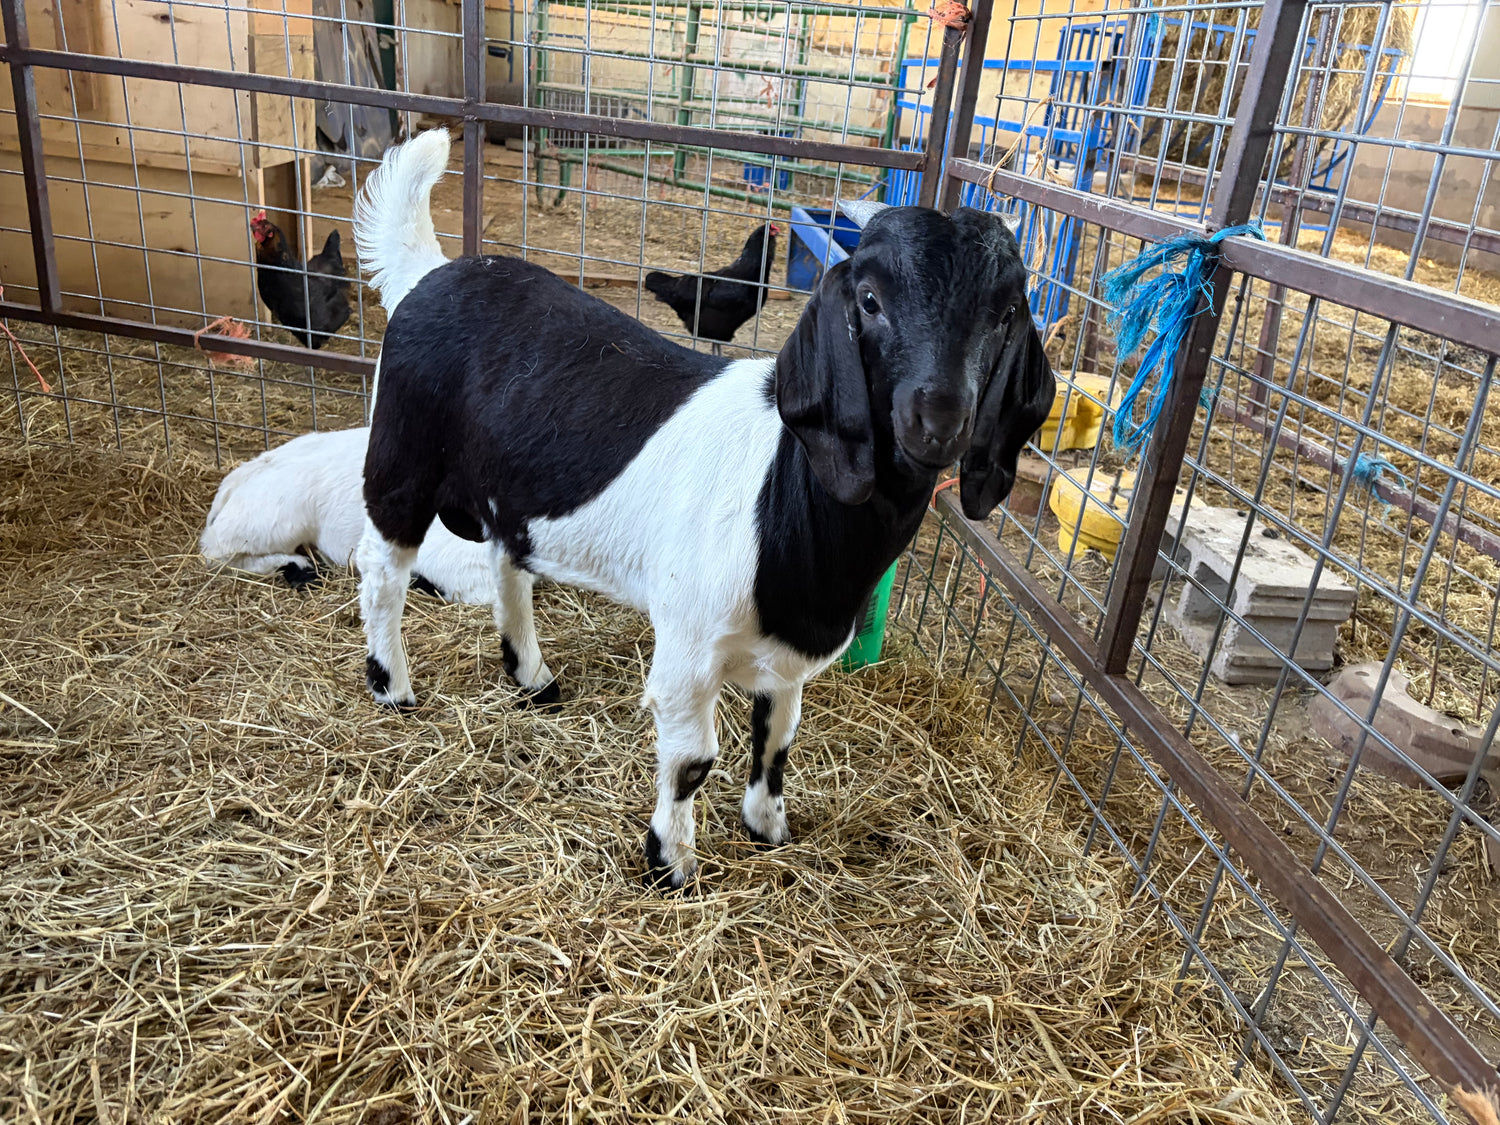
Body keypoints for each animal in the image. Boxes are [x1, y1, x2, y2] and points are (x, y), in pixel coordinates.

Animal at [354, 129, 1056, 888]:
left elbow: (776, 741)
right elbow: (694, 759)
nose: (938, 420)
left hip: (508, 488)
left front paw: (768, 829)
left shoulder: (787, 661)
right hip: (401, 456)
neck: (785, 503)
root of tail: (430, 273)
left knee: (507, 557)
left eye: (1006, 314)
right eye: (869, 299)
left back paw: (532, 676)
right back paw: (393, 686)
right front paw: (671, 863)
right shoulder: (689, 647)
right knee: (383, 569)